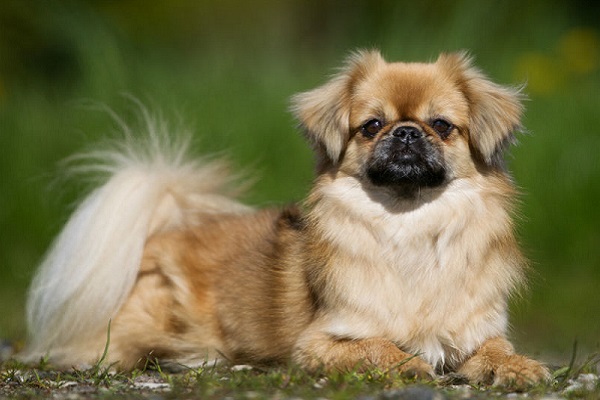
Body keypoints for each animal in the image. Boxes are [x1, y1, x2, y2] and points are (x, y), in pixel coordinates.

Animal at [22, 50, 548, 388]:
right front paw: (406, 364)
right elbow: (377, 345)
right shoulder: (319, 343)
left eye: (440, 126)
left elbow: (497, 351)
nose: (405, 133)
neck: (410, 225)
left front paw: (519, 368)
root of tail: (162, 233)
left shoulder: (478, 330)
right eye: (371, 126)